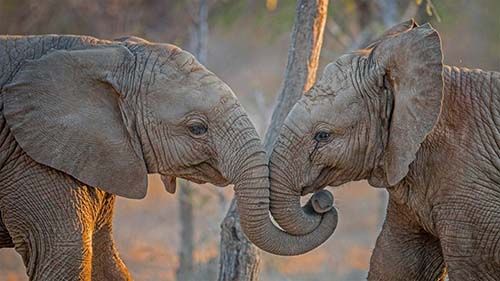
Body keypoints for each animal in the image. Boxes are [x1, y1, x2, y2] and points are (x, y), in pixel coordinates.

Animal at [0, 35, 336, 280]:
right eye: (197, 128)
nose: (321, 200)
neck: (101, 50)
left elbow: (105, 258)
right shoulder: (31, 159)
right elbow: (68, 256)